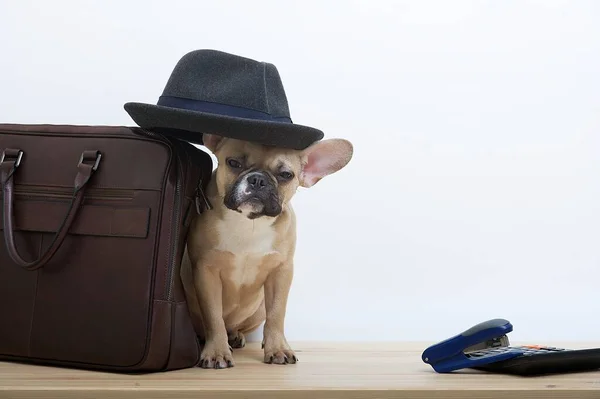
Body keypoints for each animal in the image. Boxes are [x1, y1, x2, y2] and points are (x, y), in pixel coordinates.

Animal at [180, 132, 354, 368]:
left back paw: (235, 335)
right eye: (233, 163)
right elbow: (213, 316)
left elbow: (276, 313)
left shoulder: (281, 271)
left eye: (286, 175)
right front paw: (216, 352)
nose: (258, 179)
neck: (249, 222)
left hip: (257, 310)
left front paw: (278, 348)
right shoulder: (206, 272)